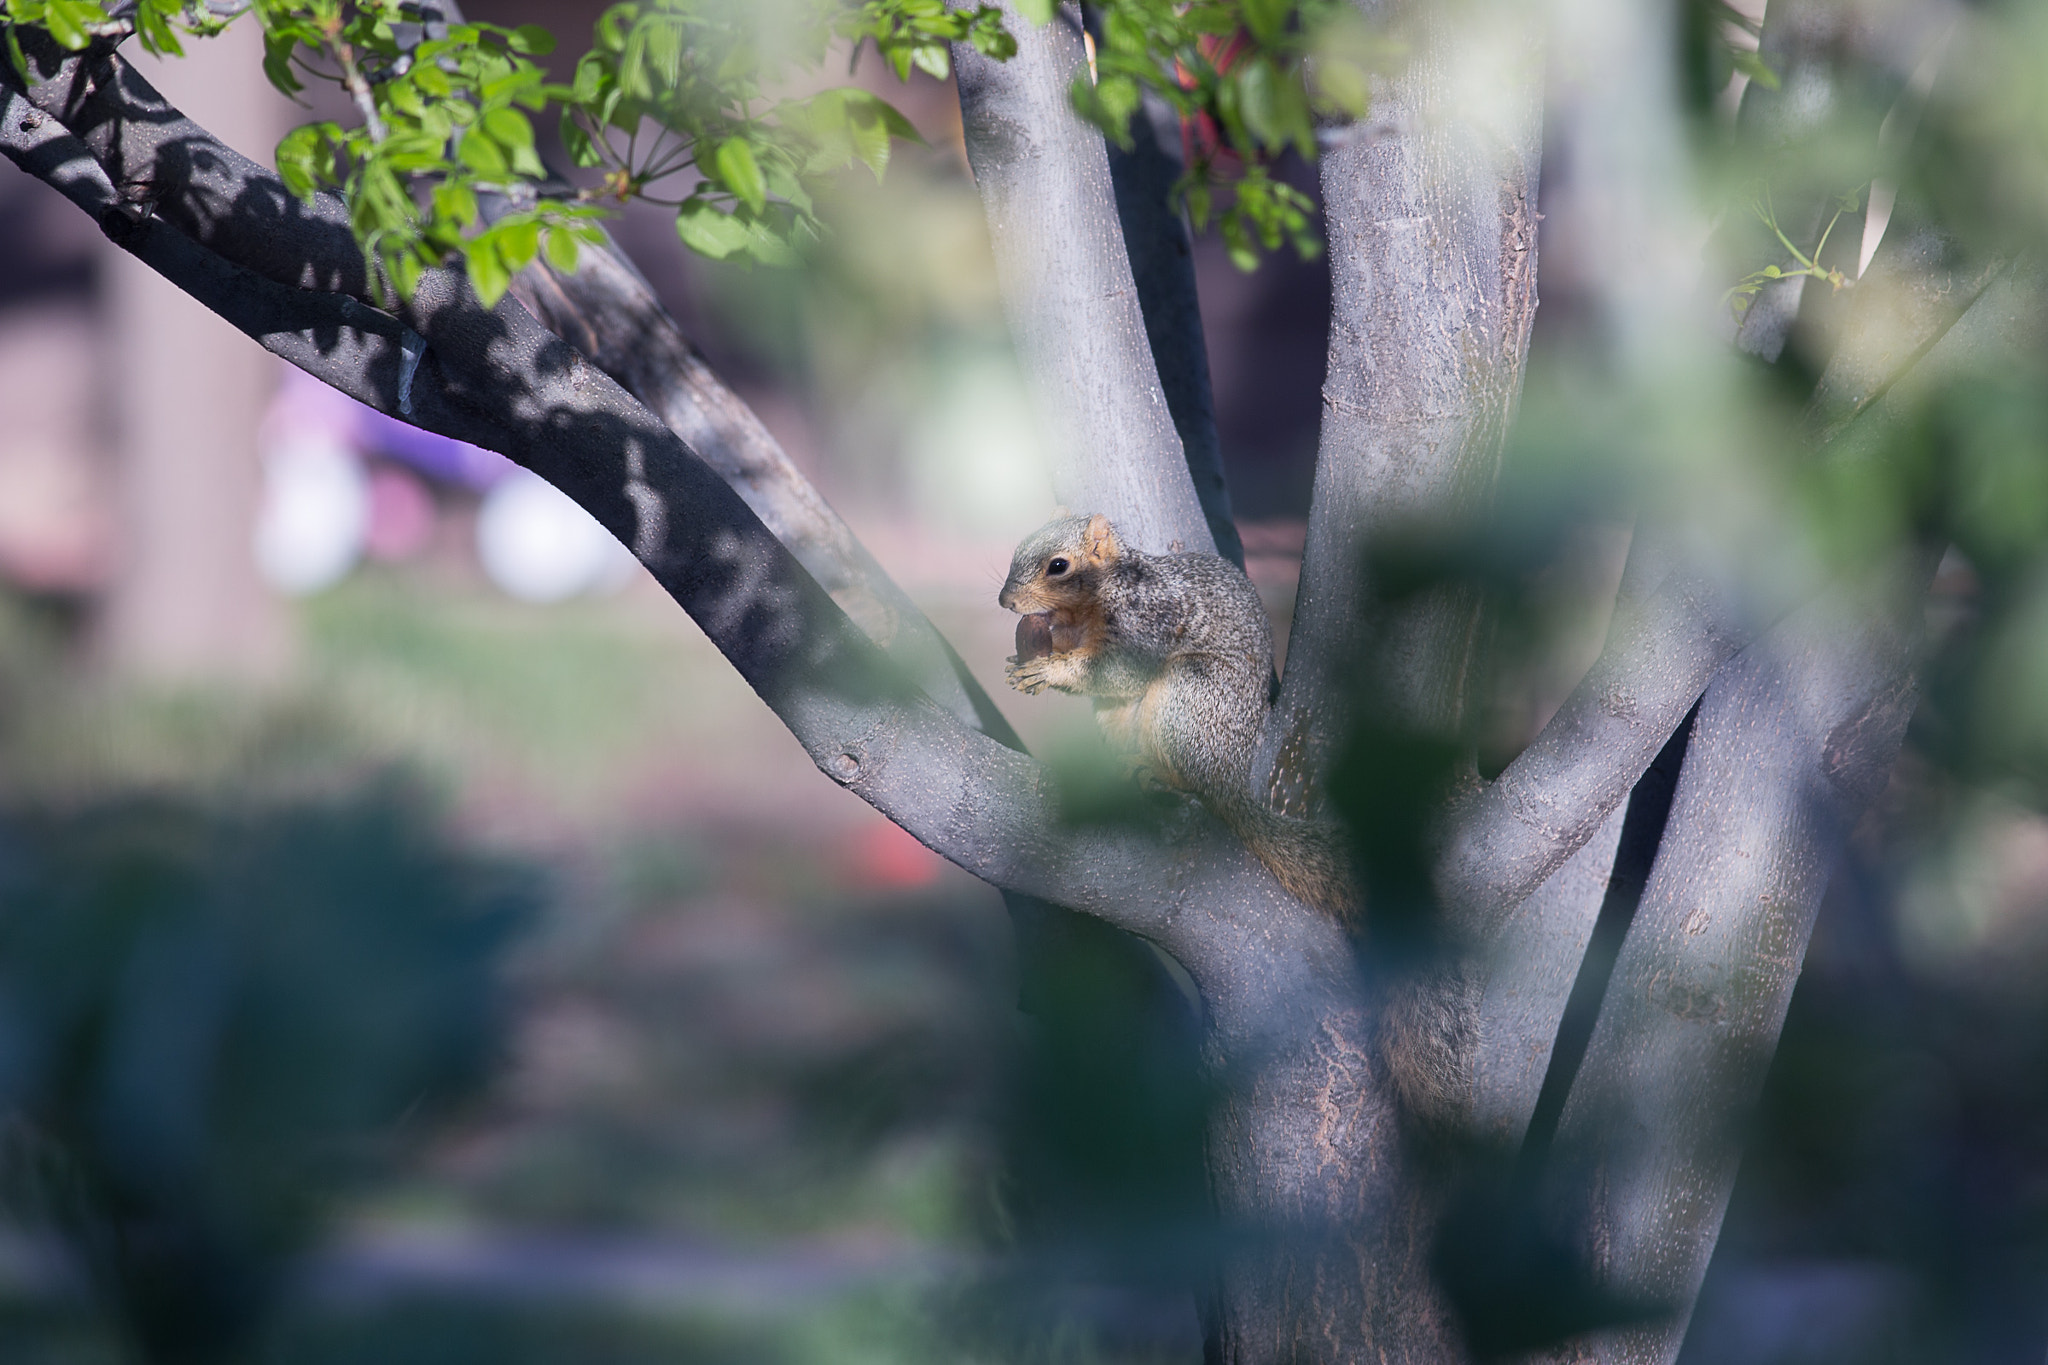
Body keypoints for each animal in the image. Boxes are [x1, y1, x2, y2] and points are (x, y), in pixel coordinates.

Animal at [995, 509, 1359, 916]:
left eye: (1058, 566)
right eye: (1019, 548)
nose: (1005, 600)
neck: (1096, 597)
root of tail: (1232, 776)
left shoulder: (1149, 623)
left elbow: (1118, 672)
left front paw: (1049, 670)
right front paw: (1023, 662)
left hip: (1192, 696)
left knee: (1191, 780)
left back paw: (1154, 769)